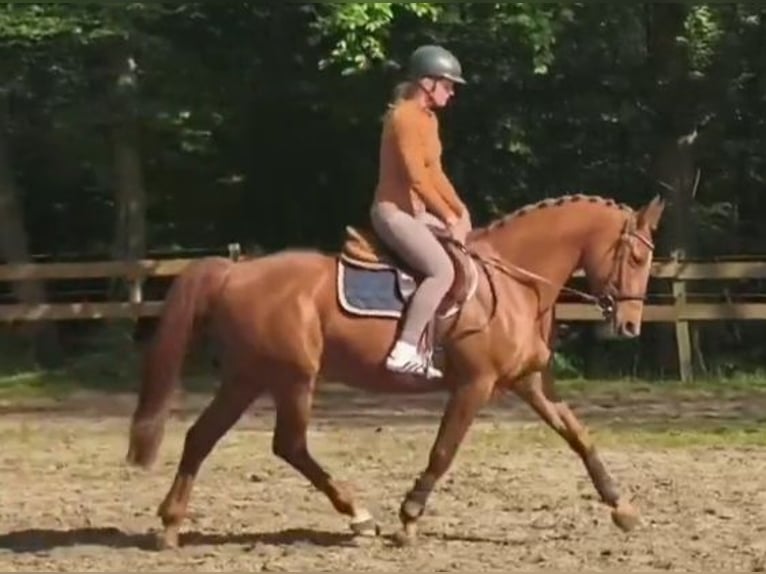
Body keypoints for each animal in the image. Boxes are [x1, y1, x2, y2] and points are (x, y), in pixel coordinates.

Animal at [125, 192, 665, 549]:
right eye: (638, 255)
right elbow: (444, 450)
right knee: (288, 445)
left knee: (203, 436)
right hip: (290, 378)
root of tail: (236, 271)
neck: (514, 282)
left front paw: (622, 508)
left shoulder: (528, 383)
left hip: (248, 378)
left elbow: (579, 437)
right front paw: (409, 518)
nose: (631, 325)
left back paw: (170, 525)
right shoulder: (475, 386)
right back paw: (360, 516)